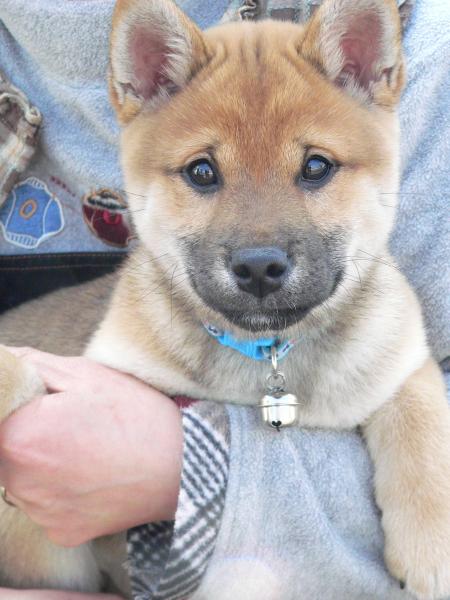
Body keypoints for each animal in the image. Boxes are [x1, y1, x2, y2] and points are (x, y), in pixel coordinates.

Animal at [0, 0, 450, 596]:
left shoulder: (402, 359)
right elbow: (23, 372)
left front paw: (432, 548)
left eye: (316, 166)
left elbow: (424, 426)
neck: (269, 356)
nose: (259, 266)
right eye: (202, 171)